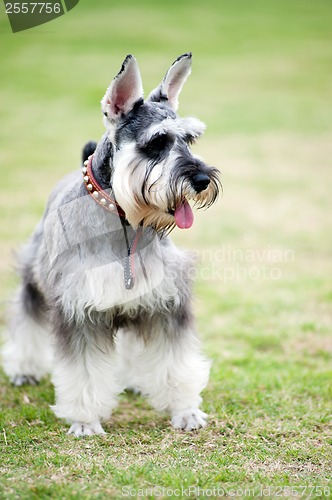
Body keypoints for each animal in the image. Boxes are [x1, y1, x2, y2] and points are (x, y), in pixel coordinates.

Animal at [3, 54, 220, 436]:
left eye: (189, 140)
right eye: (156, 143)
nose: (201, 179)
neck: (125, 222)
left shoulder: (164, 305)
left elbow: (175, 363)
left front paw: (185, 411)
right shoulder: (78, 310)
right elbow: (83, 372)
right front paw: (85, 421)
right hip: (34, 282)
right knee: (26, 321)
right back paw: (24, 369)